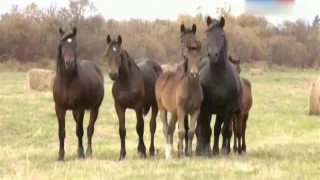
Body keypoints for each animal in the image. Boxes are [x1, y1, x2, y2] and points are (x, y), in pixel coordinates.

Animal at [52, 27, 104, 162]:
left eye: (75, 45)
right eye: (62, 44)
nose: (69, 63)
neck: (67, 82)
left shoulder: (80, 109)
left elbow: (80, 131)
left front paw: (81, 154)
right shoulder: (59, 109)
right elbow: (61, 132)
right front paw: (61, 156)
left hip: (94, 108)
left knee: (90, 129)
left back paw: (88, 152)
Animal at [195, 16, 242, 157]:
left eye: (221, 35)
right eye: (208, 34)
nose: (213, 55)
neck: (218, 78)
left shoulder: (227, 109)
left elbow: (223, 130)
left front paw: (222, 150)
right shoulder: (205, 108)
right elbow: (206, 129)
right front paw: (206, 150)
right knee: (201, 128)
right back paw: (201, 149)